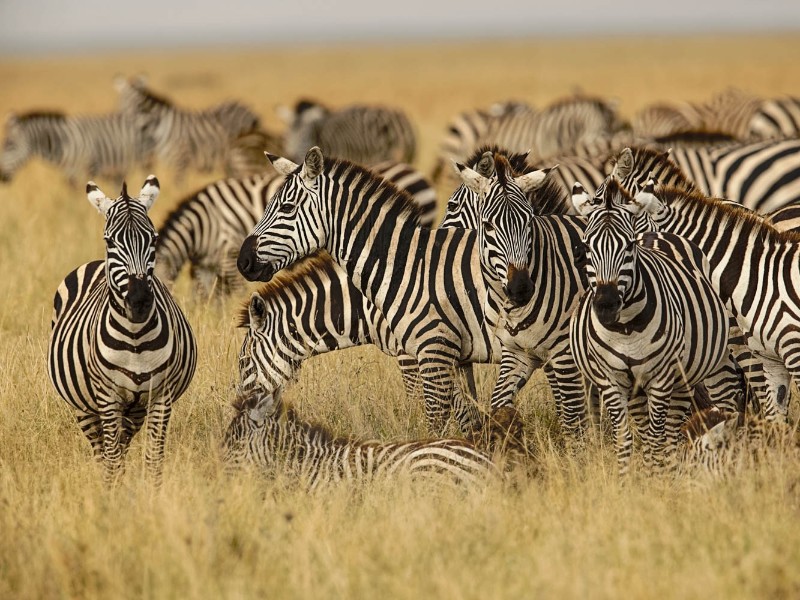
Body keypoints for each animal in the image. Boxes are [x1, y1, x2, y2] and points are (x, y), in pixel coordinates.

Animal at [0, 110, 155, 183]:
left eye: (10, 145)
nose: (1, 177)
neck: (64, 143)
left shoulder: (87, 169)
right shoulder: (69, 174)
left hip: (144, 160)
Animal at [47, 177, 197, 484]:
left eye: (153, 238)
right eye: (110, 241)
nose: (139, 301)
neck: (135, 337)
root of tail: (93, 262)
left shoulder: (160, 395)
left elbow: (153, 459)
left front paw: (152, 493)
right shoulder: (107, 397)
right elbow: (112, 457)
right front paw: (112, 493)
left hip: (135, 408)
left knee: (123, 443)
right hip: (84, 407)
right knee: (102, 450)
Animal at [115, 76, 260, 174]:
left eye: (138, 102)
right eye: (123, 100)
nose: (128, 116)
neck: (158, 126)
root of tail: (246, 107)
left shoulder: (180, 159)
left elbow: (179, 187)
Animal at [568, 179, 735, 475]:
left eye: (629, 247)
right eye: (586, 248)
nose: (606, 304)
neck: (625, 329)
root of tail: (655, 234)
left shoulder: (661, 378)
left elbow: (657, 438)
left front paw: (656, 479)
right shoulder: (611, 380)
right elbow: (625, 438)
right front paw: (626, 480)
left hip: (682, 379)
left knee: (668, 433)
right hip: (637, 387)